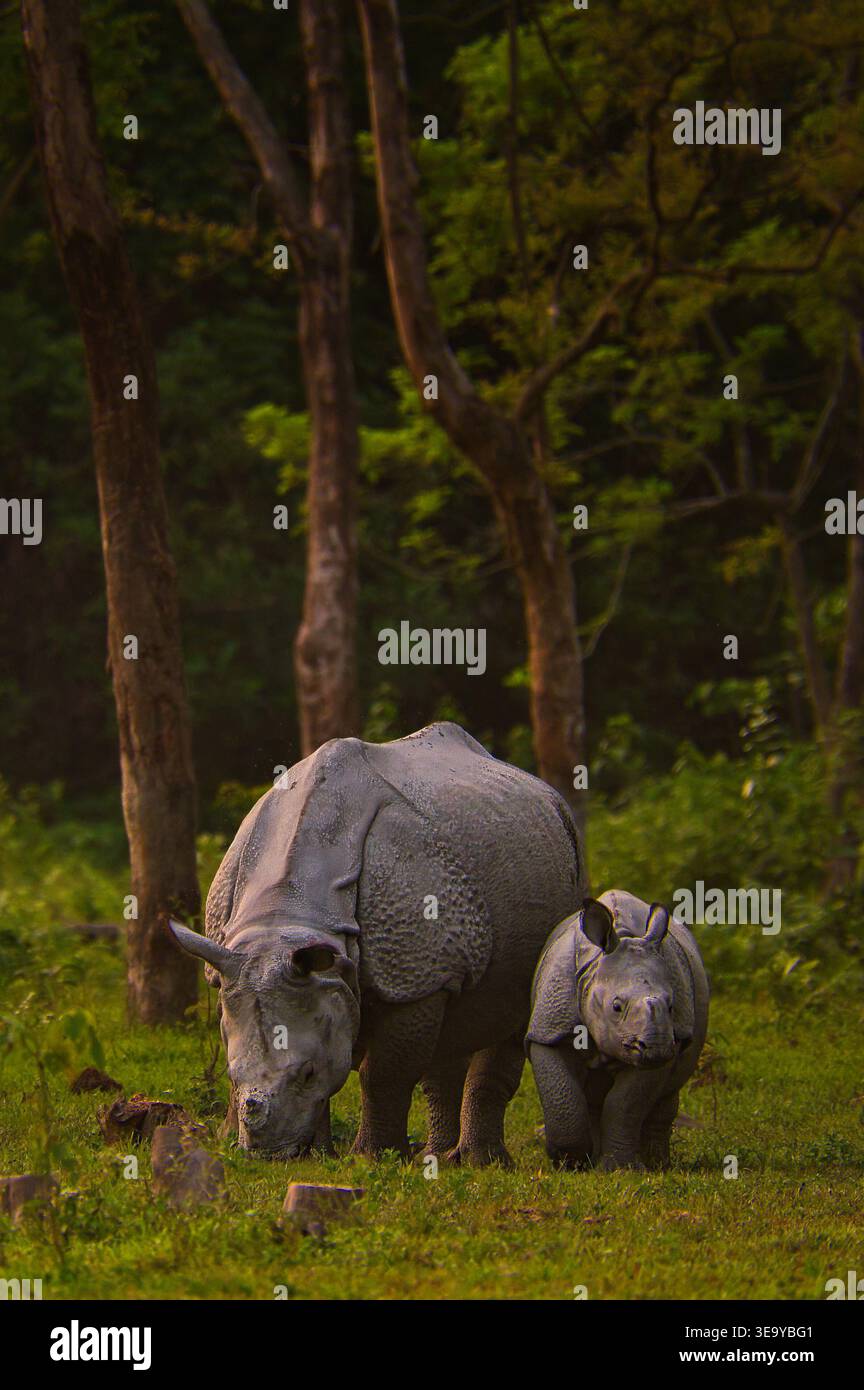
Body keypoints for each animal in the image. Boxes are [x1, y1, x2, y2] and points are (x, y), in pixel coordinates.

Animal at [170, 722, 583, 1165]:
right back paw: (441, 1157)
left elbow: (383, 1074)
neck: (290, 917)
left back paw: (480, 1162)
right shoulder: (257, 968)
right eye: (231, 1073)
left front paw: (370, 1158)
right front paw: (319, 1156)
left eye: (307, 1072)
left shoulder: (412, 979)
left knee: (514, 1009)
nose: (268, 1154)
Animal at [526, 889, 709, 1171]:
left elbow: (624, 1105)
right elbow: (563, 1096)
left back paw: (658, 1164)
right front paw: (571, 1161)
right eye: (616, 1006)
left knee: (666, 1096)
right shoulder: (549, 1030)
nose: (657, 1047)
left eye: (671, 1006)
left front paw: (620, 1169)